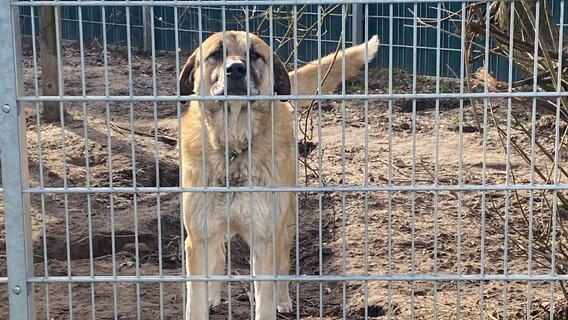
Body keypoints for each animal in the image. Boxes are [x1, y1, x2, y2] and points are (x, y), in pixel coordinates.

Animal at [180, 30, 380, 320]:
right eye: (216, 54)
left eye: (254, 54)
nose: (235, 69)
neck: (234, 150)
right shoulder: (199, 238)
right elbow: (196, 298)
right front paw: (205, 298)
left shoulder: (266, 237)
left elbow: (265, 294)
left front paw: (271, 301)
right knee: (221, 255)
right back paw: (213, 295)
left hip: (284, 226)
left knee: (282, 265)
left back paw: (283, 299)